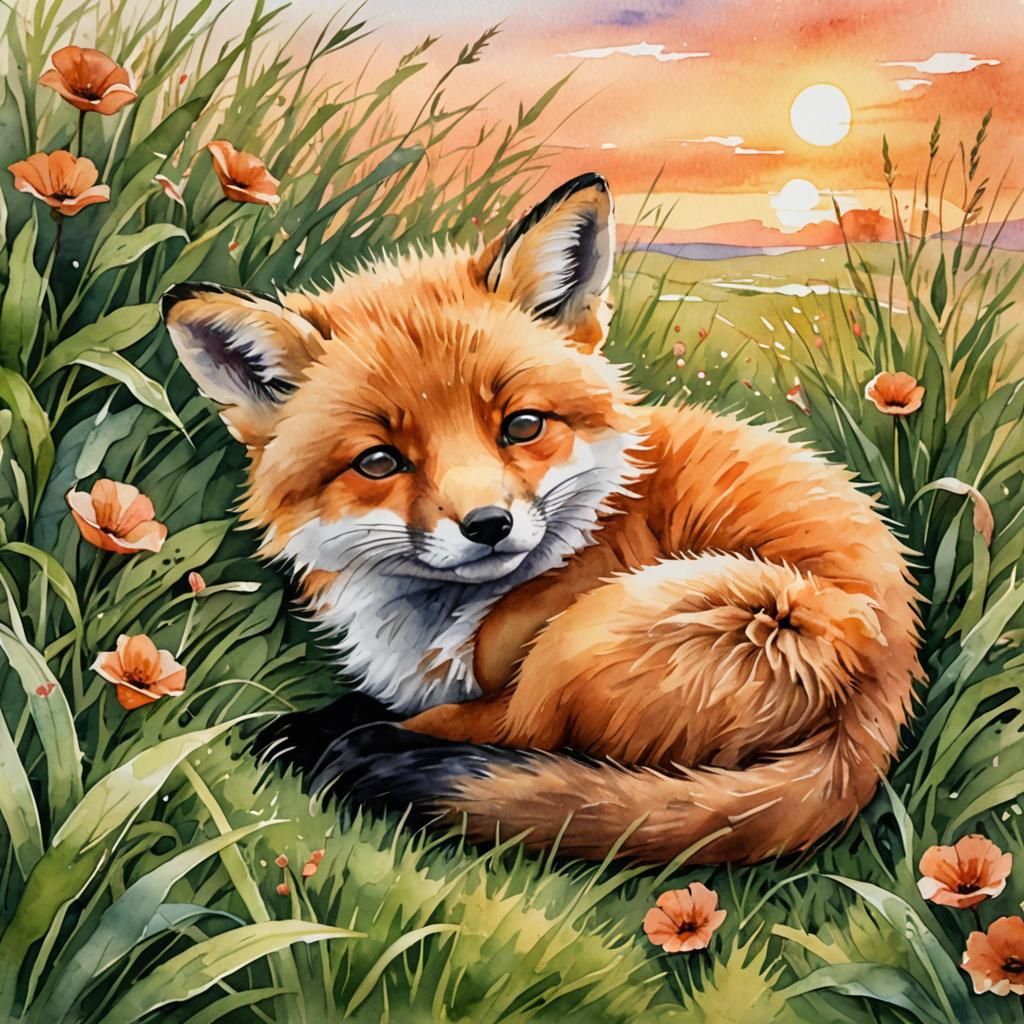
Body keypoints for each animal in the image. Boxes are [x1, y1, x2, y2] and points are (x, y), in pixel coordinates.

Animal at [161, 172, 922, 864]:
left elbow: (452, 724)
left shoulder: (502, 685)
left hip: (623, 627)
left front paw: (334, 741)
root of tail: (882, 701)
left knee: (530, 745)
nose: (487, 524)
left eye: (523, 425)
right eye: (378, 462)